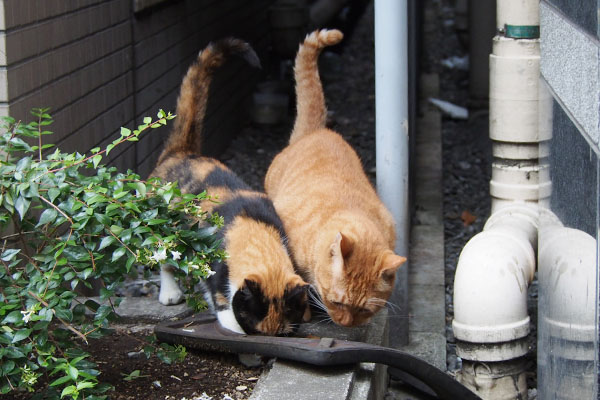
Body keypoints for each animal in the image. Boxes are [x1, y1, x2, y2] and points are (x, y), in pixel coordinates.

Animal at [149, 39, 310, 336]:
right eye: (255, 331)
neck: (251, 228)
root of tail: (181, 153)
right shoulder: (218, 278)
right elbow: (225, 309)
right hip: (161, 230)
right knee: (163, 259)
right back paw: (170, 293)